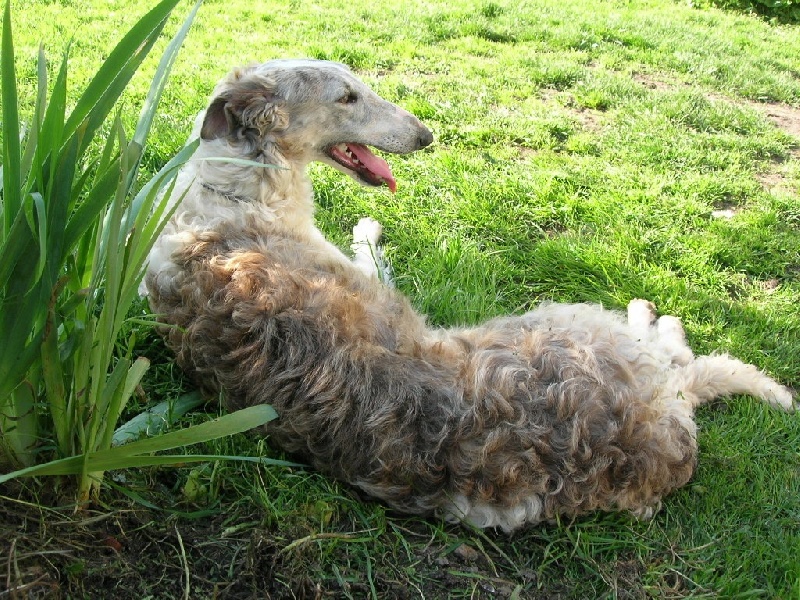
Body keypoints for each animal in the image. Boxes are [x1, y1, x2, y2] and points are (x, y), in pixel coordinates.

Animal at [147, 58, 796, 532]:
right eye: (347, 97)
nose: (426, 136)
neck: (230, 192)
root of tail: (657, 442)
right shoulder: (362, 274)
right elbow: (371, 253)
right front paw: (368, 228)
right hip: (575, 321)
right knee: (677, 354)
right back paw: (652, 314)